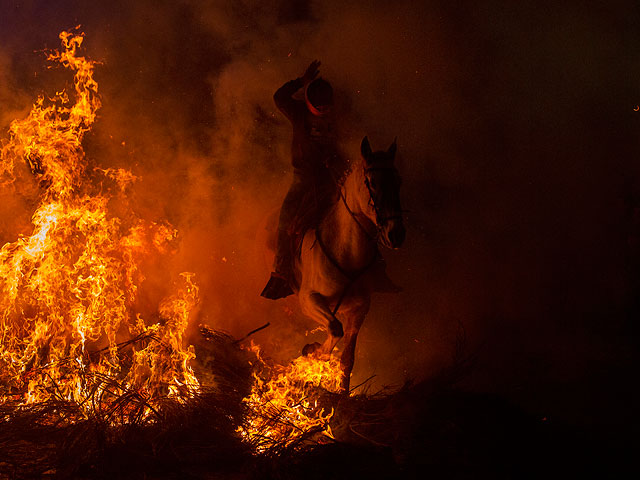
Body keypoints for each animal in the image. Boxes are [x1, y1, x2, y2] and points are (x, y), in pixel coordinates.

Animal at [292, 135, 404, 390]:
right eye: (371, 182)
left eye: (398, 181)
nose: (396, 234)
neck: (346, 253)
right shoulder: (308, 299)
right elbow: (334, 330)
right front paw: (312, 350)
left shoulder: (358, 310)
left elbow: (347, 358)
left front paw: (342, 391)